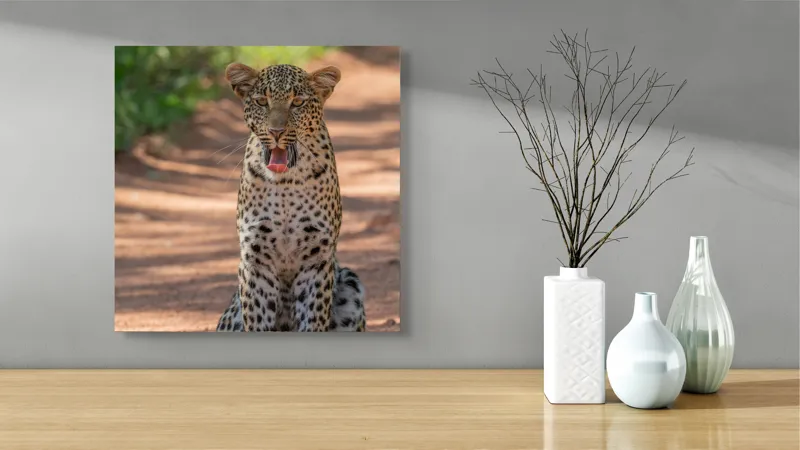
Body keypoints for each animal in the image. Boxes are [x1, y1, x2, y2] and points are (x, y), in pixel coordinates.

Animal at [215, 62, 366, 332]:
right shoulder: (256, 259)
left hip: (351, 283)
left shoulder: (317, 259)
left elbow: (313, 318)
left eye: (297, 102)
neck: (285, 183)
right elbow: (257, 318)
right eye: (262, 101)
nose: (276, 132)